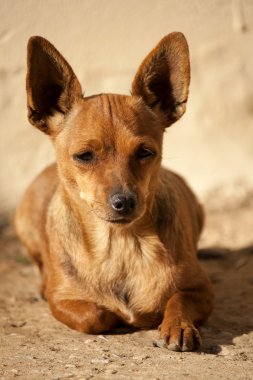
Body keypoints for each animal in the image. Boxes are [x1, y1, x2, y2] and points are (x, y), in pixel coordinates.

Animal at [14, 32, 213, 354]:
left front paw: (178, 325)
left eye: (146, 153)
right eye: (84, 156)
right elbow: (96, 315)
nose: (125, 201)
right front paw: (117, 316)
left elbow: (178, 299)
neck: (120, 244)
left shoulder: (202, 289)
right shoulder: (62, 299)